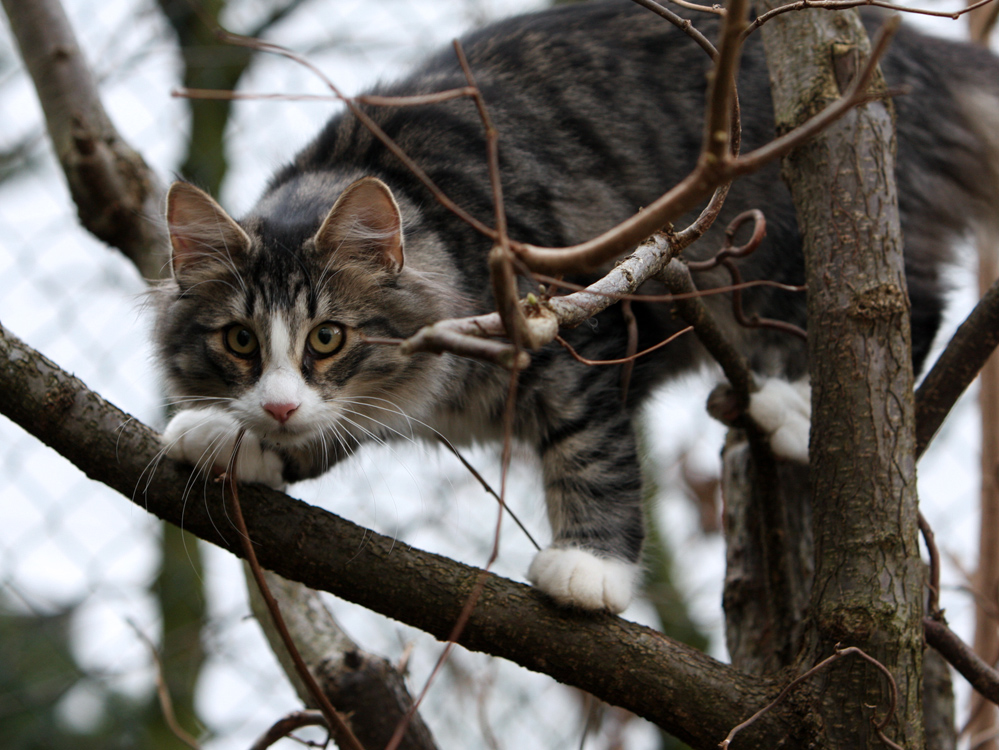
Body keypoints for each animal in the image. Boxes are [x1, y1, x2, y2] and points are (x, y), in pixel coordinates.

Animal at [152, 0, 999, 616]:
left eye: (327, 338)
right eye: (238, 342)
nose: (279, 405)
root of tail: (906, 51)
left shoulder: (579, 336)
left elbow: (592, 456)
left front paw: (590, 568)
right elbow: (333, 428)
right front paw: (232, 436)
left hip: (801, 238)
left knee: (900, 303)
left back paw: (795, 403)